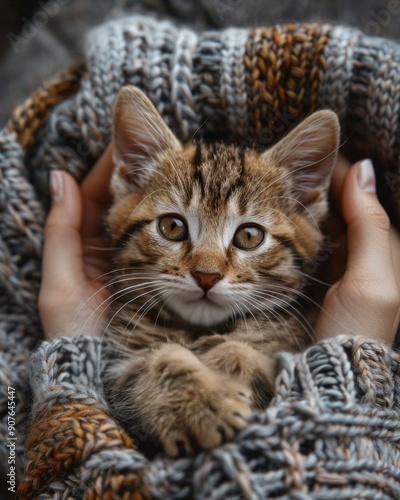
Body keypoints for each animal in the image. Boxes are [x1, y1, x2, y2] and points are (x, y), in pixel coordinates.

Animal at [101, 86, 340, 458]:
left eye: (249, 236)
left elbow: (250, 354)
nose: (206, 276)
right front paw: (202, 404)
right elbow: (154, 364)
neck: (200, 330)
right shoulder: (118, 372)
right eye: (172, 227)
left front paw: (229, 365)